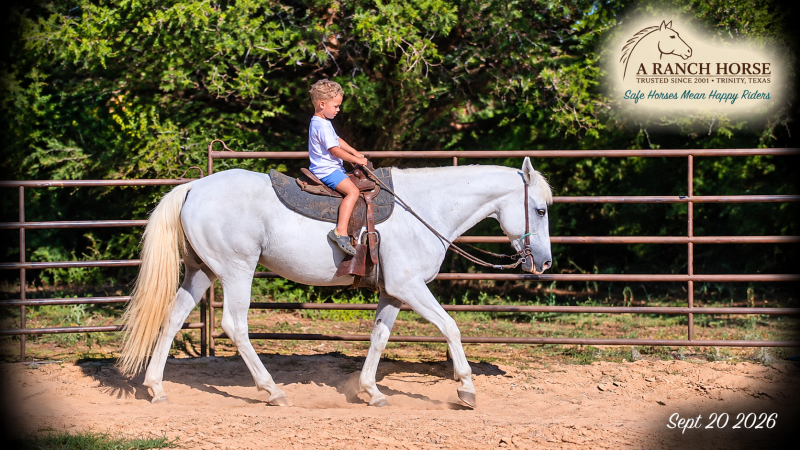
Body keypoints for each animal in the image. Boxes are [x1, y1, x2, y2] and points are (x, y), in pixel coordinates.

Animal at [118, 157, 553, 408]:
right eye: (540, 209)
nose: (546, 262)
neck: (426, 208)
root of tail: (194, 187)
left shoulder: (392, 292)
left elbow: (379, 337)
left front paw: (370, 391)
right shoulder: (410, 287)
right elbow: (450, 327)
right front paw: (466, 389)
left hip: (201, 272)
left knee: (172, 320)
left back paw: (156, 387)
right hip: (237, 270)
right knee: (235, 326)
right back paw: (272, 390)